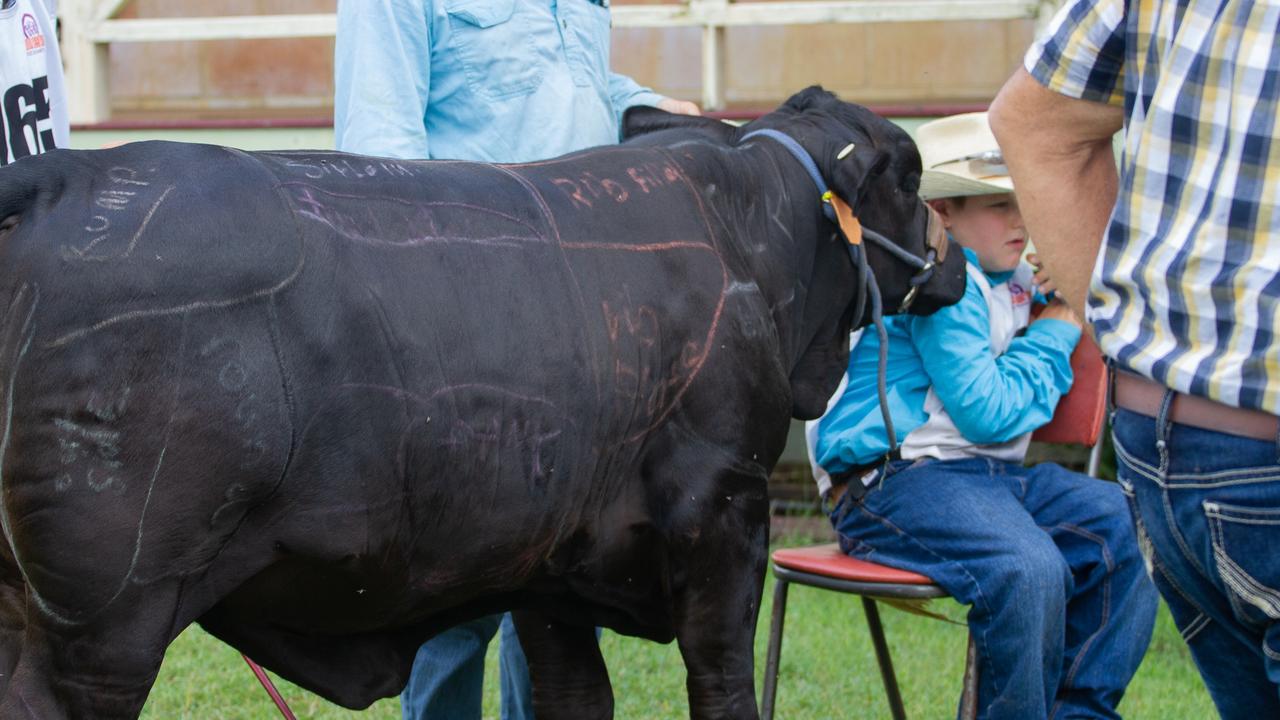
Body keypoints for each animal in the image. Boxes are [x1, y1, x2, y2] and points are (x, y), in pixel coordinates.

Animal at [0, 87, 962, 712]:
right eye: (913, 175)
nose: (954, 262)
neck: (751, 241)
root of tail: (69, 180)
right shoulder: (728, 517)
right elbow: (722, 683)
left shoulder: (549, 574)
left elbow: (576, 695)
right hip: (104, 625)